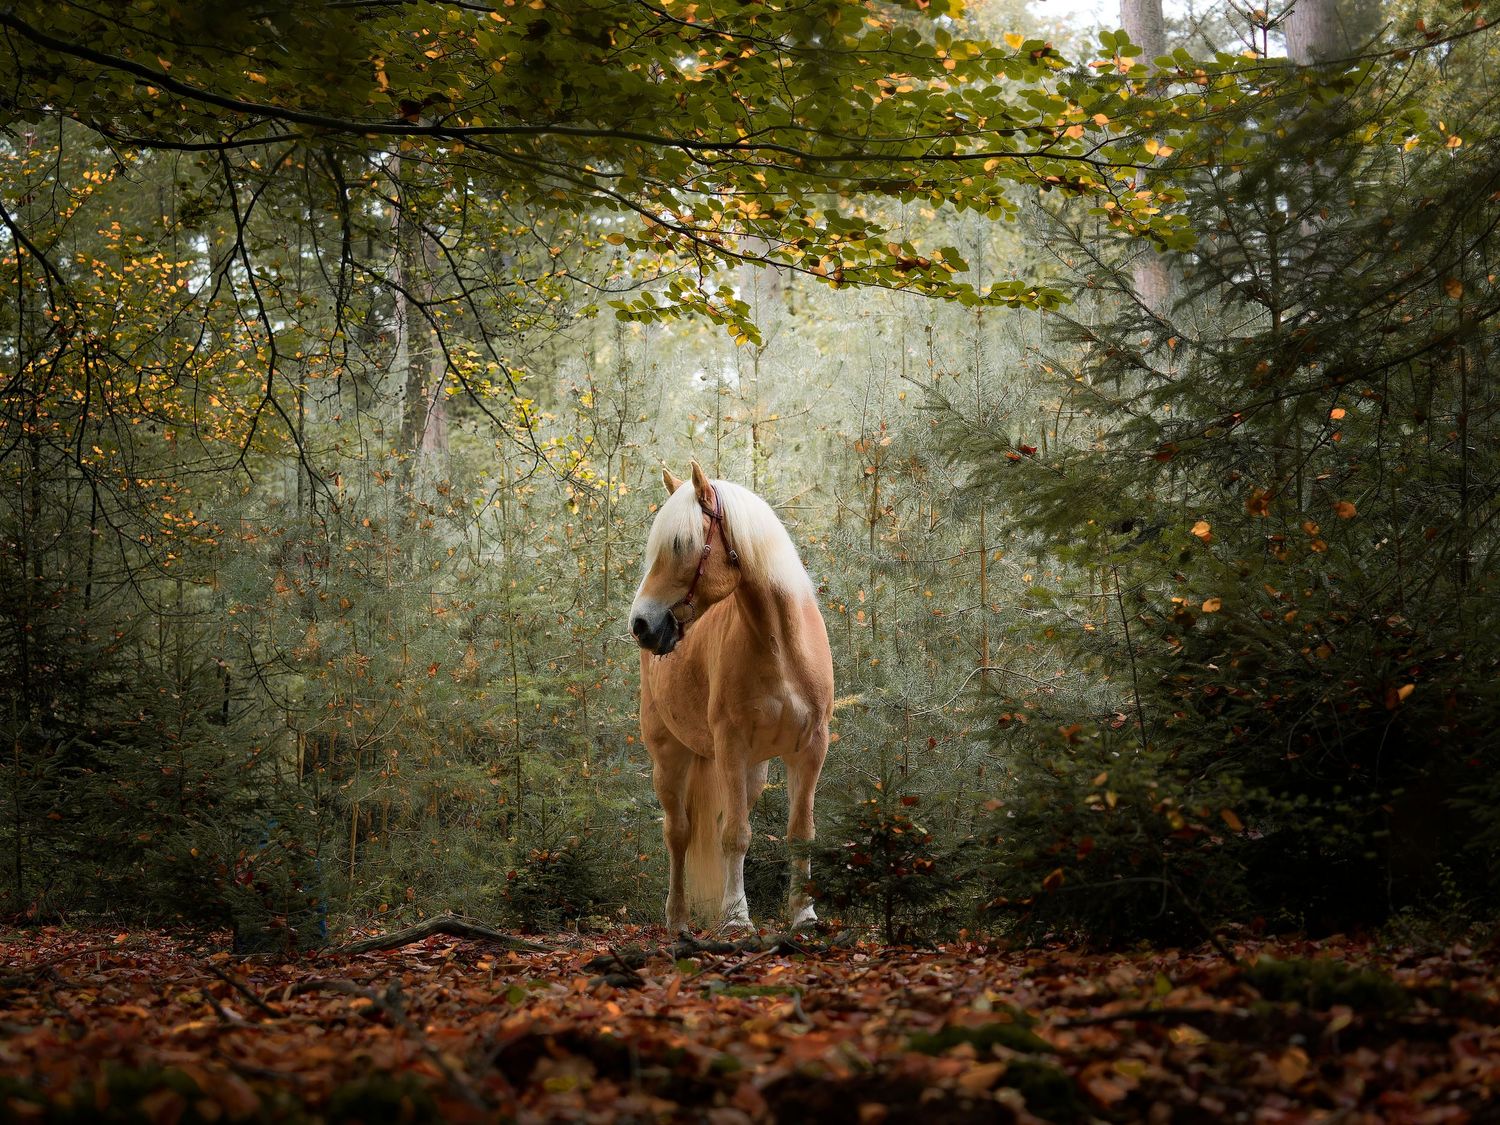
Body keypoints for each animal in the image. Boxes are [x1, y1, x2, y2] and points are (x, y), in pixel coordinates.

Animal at [628, 462, 833, 932]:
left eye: (681, 543)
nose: (641, 625)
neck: (782, 649)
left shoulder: (810, 749)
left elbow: (801, 834)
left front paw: (804, 914)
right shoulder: (731, 746)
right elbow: (735, 836)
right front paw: (738, 919)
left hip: (752, 771)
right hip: (671, 757)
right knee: (679, 833)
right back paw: (679, 919)